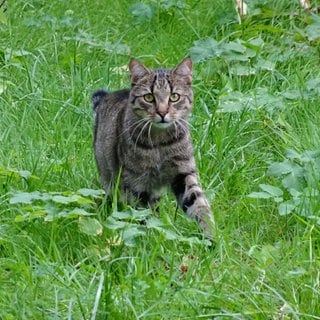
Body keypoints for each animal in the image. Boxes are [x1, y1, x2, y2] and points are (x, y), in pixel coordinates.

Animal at [91, 57, 214, 238]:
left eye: (174, 97)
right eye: (149, 97)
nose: (162, 112)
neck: (160, 144)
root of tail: (108, 96)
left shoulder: (183, 172)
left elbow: (199, 204)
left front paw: (211, 234)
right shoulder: (135, 182)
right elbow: (140, 213)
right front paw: (148, 235)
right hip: (109, 176)